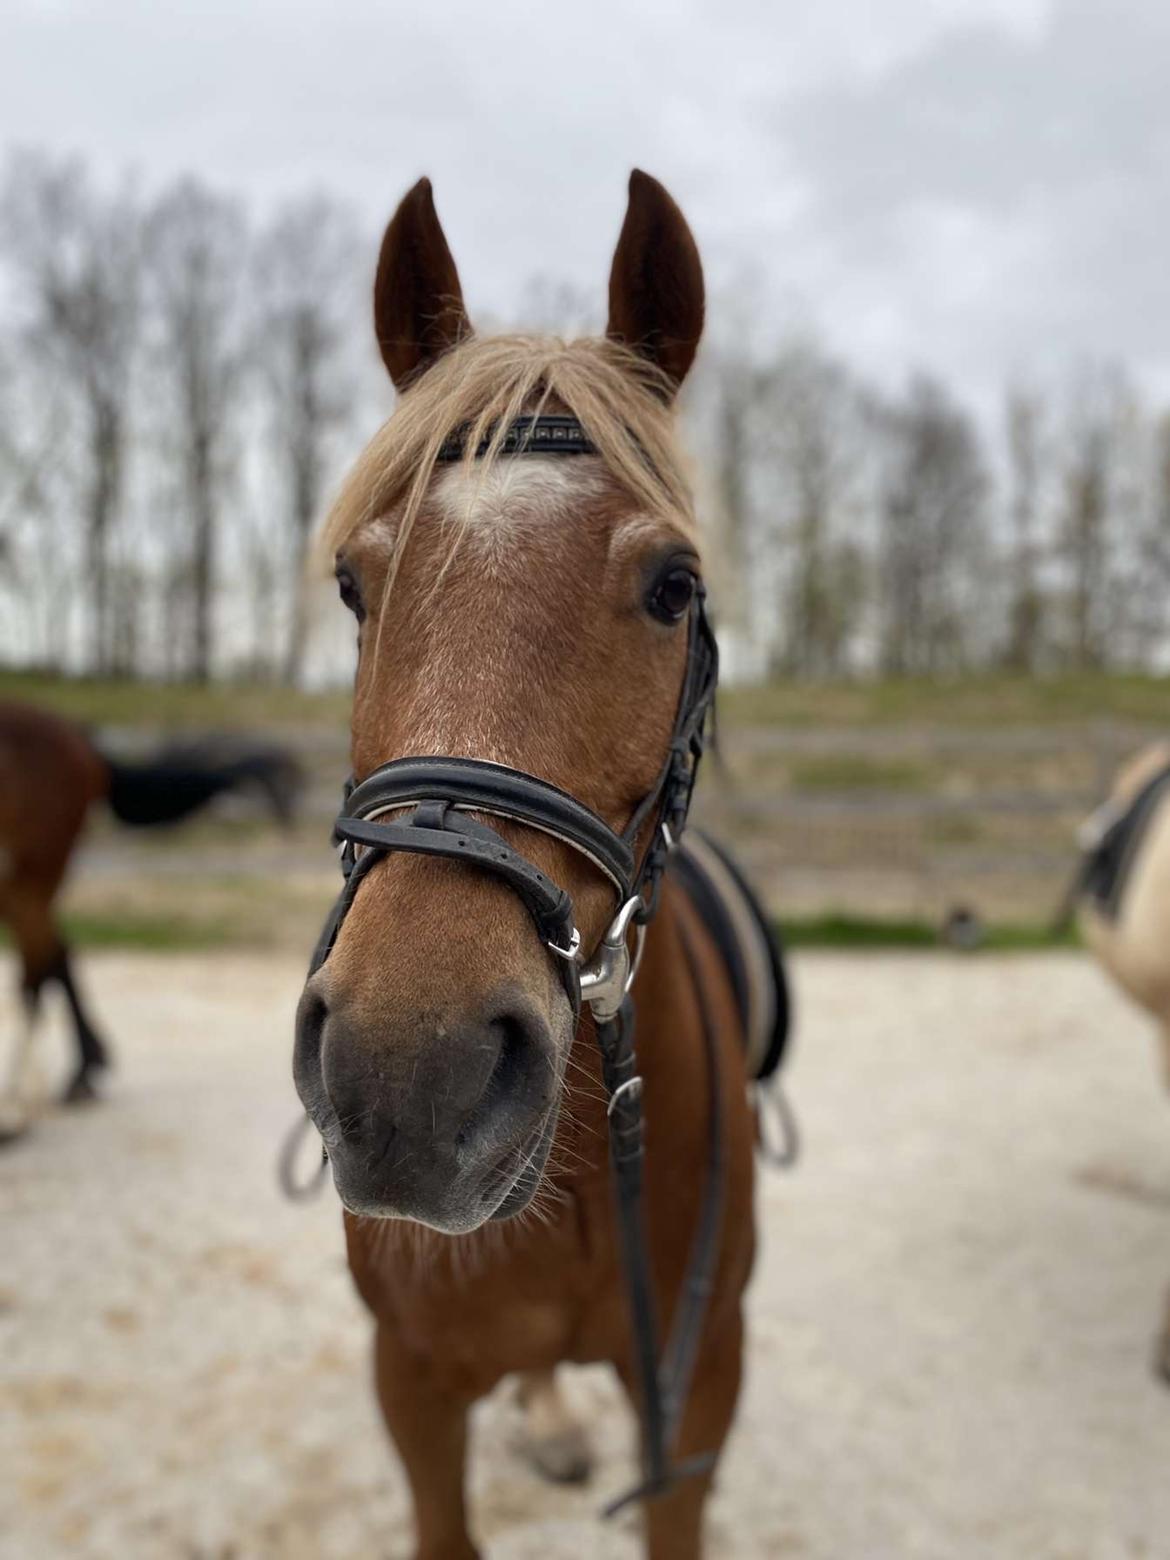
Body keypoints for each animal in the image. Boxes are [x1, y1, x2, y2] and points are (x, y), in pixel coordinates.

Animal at [0, 702, 299, 1129]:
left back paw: (23, 1102)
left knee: (38, 968)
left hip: (31, 877)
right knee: (51, 957)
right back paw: (75, 1076)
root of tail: (79, 741)